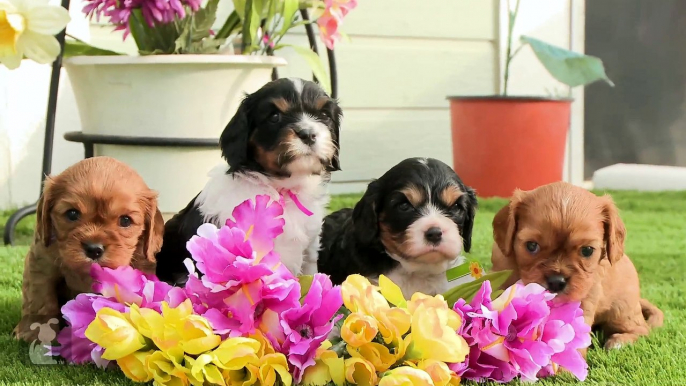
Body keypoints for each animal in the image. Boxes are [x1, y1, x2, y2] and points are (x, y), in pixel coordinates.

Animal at [13, 155, 165, 342]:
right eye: (72, 214)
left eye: (125, 220)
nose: (94, 249)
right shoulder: (41, 263)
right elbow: (39, 300)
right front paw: (36, 332)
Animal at [492, 182, 664, 352]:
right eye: (532, 246)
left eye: (587, 250)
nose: (556, 282)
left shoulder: (586, 297)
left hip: (620, 311)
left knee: (641, 329)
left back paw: (619, 342)